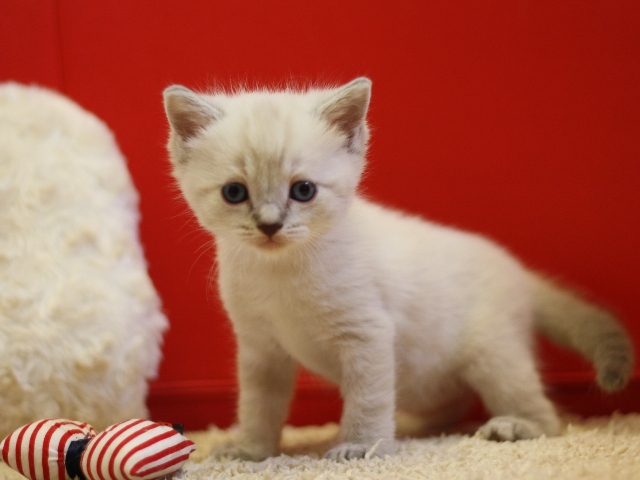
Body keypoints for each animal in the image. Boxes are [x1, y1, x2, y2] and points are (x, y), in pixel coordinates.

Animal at [162, 78, 632, 462]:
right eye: (234, 193)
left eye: (303, 190)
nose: (270, 225)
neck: (279, 275)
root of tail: (516, 269)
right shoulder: (261, 348)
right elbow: (258, 407)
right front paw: (251, 451)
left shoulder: (366, 335)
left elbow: (366, 400)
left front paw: (358, 446)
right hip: (431, 375)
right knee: (448, 401)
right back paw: (412, 428)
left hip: (493, 356)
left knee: (547, 417)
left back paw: (513, 427)